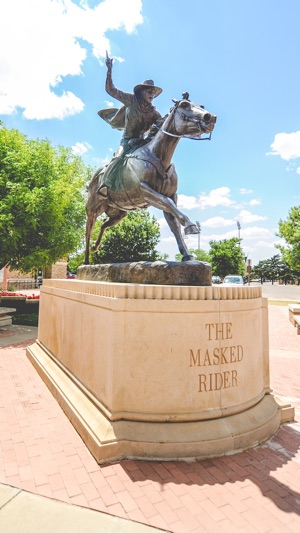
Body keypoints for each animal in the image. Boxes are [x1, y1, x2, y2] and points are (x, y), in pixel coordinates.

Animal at [84, 95, 216, 264]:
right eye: (184, 104)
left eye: (201, 106)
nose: (210, 117)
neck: (157, 154)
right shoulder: (144, 191)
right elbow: (167, 203)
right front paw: (191, 225)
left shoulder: (171, 195)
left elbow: (174, 223)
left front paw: (187, 254)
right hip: (93, 210)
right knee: (88, 231)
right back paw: (86, 261)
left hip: (119, 214)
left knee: (103, 225)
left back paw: (96, 247)